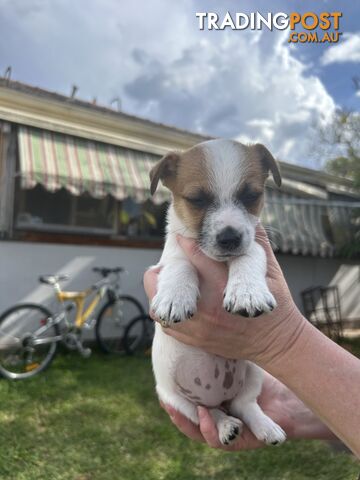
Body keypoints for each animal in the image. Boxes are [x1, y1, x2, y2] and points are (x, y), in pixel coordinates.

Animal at [148, 139, 286, 446]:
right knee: (207, 412)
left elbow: (249, 255)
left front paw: (247, 292)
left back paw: (266, 426)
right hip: (173, 397)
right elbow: (179, 265)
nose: (230, 238)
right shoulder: (167, 259)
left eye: (251, 195)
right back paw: (225, 426)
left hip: (256, 371)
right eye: (197, 199)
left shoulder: (255, 244)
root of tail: (220, 394)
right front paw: (175, 297)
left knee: (244, 404)